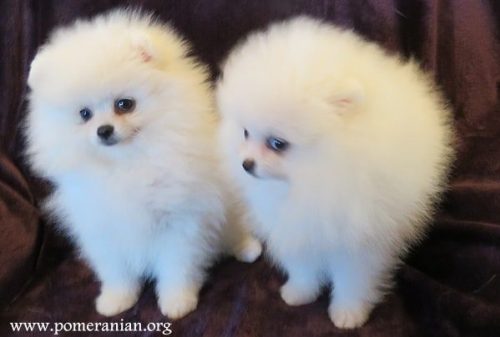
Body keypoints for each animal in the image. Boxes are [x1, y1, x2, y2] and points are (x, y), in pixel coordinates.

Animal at [25, 9, 262, 318]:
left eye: (125, 104)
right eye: (84, 114)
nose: (104, 130)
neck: (128, 162)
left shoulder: (181, 220)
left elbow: (178, 266)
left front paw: (177, 301)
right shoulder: (103, 226)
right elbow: (116, 271)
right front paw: (116, 299)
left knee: (235, 229)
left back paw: (247, 248)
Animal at [217, 17, 456, 326]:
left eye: (277, 144)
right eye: (245, 132)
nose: (246, 164)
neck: (317, 177)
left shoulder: (360, 240)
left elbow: (353, 279)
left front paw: (348, 312)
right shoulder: (296, 226)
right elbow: (303, 266)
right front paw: (299, 293)